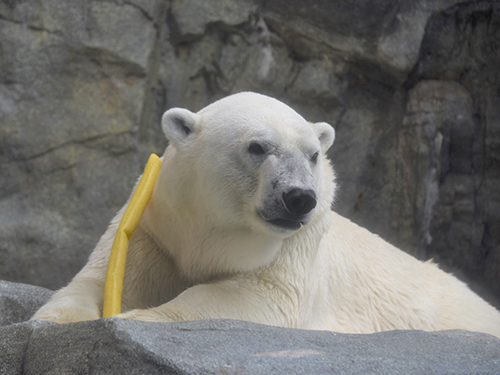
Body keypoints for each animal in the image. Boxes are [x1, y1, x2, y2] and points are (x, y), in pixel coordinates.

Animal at [31, 92, 500, 338]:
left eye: (313, 154)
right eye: (257, 146)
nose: (299, 198)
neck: (214, 230)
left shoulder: (294, 246)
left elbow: (256, 296)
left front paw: (140, 318)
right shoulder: (155, 226)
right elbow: (98, 279)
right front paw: (50, 322)